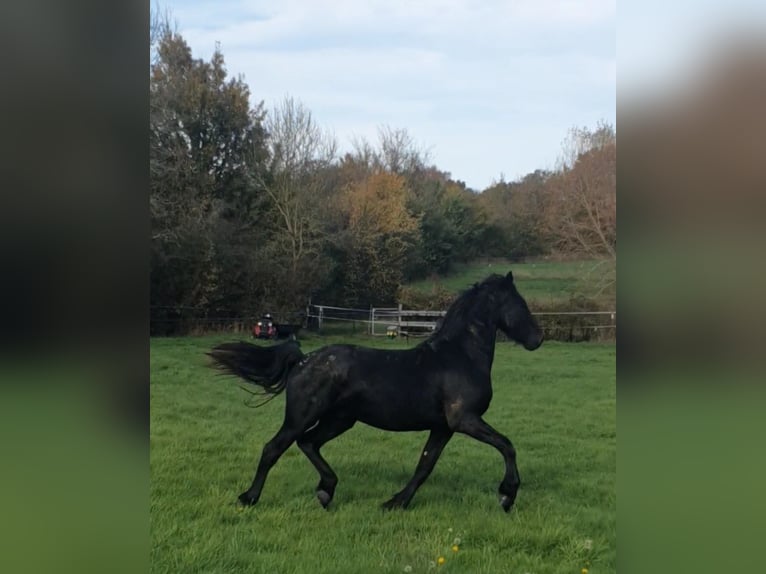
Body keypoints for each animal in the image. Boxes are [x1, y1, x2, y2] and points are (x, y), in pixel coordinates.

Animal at [208, 271, 543, 512]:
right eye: (520, 304)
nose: (538, 338)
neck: (460, 356)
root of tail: (302, 360)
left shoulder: (443, 427)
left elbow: (425, 465)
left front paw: (396, 503)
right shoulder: (465, 420)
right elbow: (507, 446)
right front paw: (507, 495)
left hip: (339, 420)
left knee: (308, 443)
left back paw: (326, 491)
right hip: (302, 416)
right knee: (274, 448)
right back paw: (250, 497)